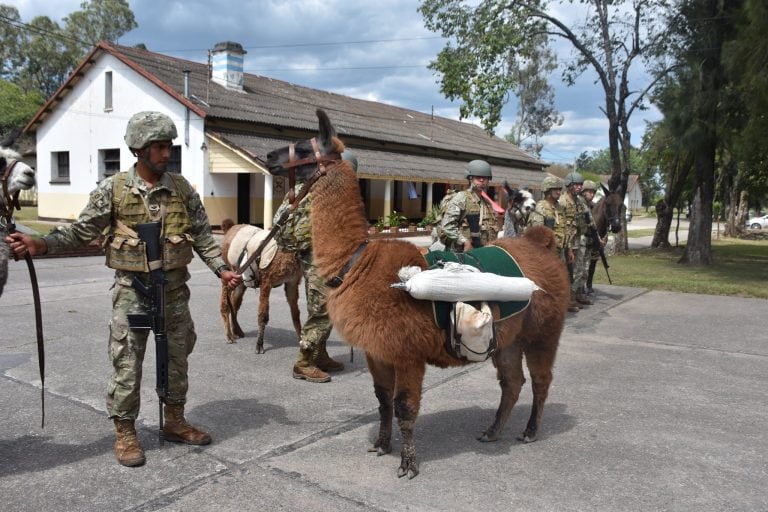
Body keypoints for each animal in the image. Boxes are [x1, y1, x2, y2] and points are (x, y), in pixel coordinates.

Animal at [219, 222, 304, 354]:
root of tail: (230, 228)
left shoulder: (292, 282)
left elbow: (295, 314)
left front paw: (302, 341)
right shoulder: (266, 281)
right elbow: (263, 315)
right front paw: (259, 346)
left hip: (240, 280)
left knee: (234, 303)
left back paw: (237, 332)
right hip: (229, 272)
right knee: (225, 302)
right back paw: (229, 336)